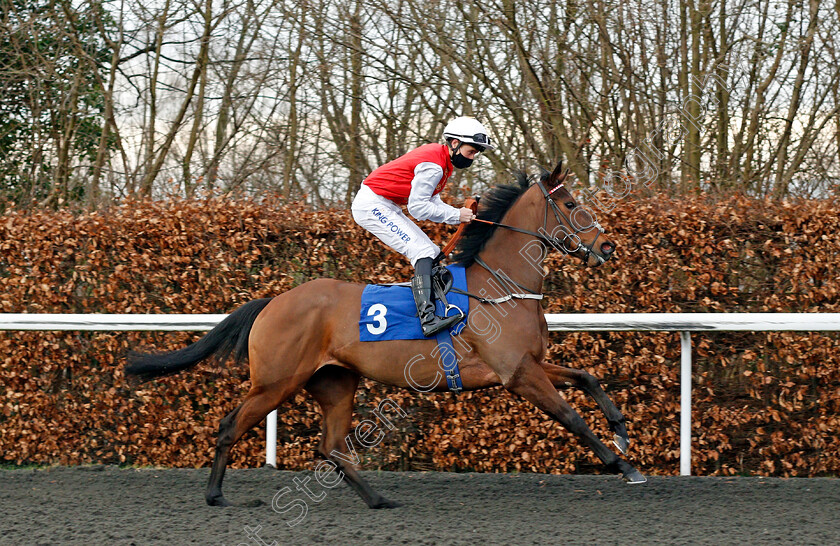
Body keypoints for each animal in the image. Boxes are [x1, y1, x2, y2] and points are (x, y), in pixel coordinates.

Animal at [124, 160, 648, 506]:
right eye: (572, 203)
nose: (608, 246)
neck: (500, 288)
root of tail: (273, 302)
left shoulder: (530, 364)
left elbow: (587, 378)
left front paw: (623, 434)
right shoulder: (518, 375)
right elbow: (572, 418)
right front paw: (623, 466)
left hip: (335, 382)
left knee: (331, 447)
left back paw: (379, 500)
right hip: (276, 381)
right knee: (231, 425)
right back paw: (216, 496)